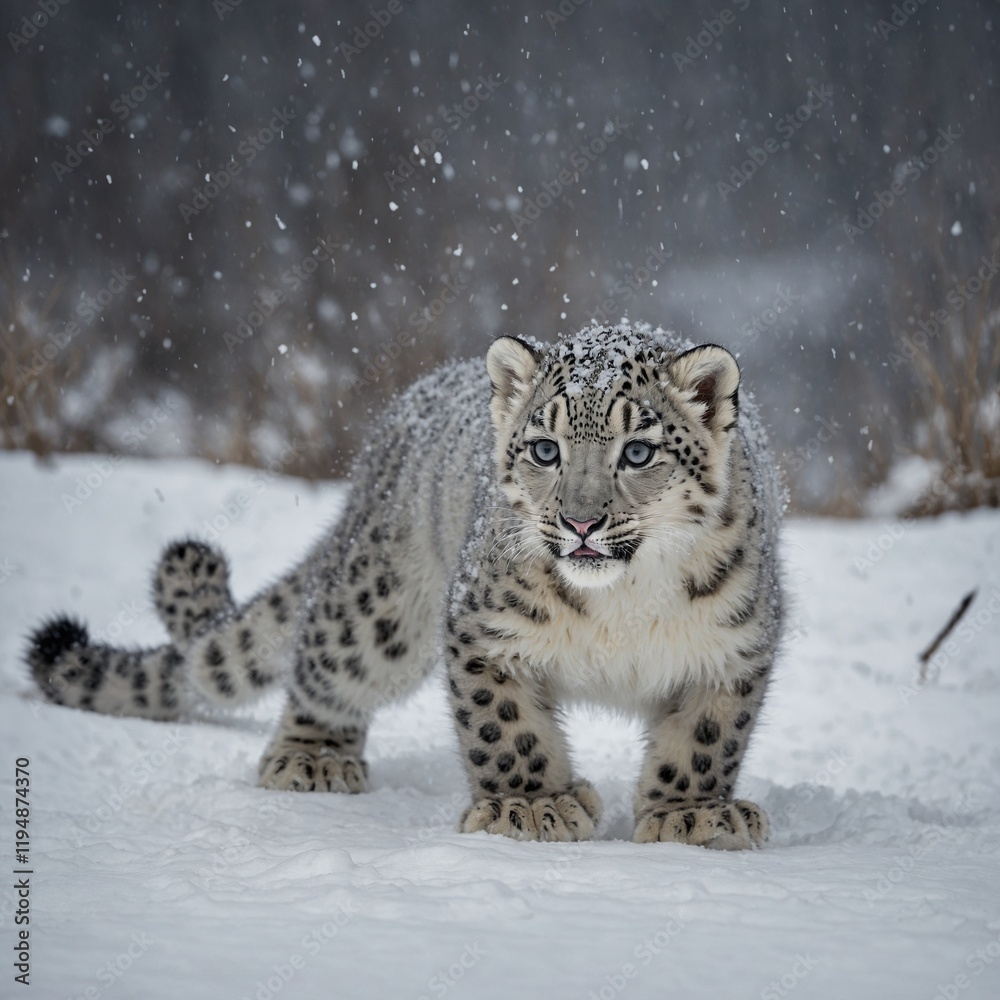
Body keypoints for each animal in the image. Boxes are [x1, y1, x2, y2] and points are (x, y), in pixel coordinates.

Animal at [27, 322, 784, 850]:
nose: (580, 520)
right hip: (374, 616)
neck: (621, 603)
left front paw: (693, 816)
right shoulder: (483, 629)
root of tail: (389, 434)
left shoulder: (735, 646)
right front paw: (530, 806)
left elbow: (706, 739)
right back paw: (312, 759)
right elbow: (505, 727)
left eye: (639, 451)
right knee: (322, 664)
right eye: (546, 449)